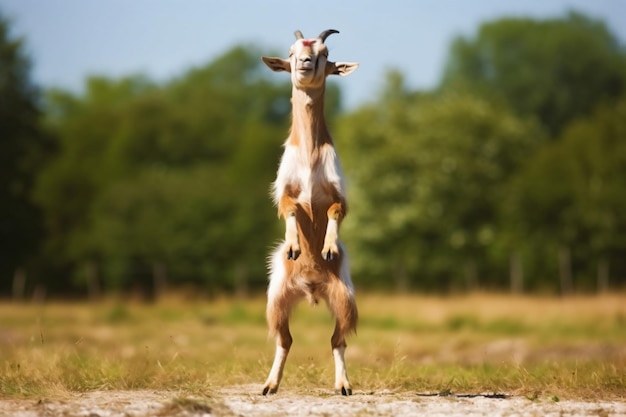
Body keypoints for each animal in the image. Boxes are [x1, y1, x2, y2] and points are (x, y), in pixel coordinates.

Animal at [258, 28, 356, 394]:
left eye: (325, 53)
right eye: (291, 51)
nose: (304, 63)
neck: (311, 156)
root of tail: (311, 289)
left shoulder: (339, 193)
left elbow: (333, 212)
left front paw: (327, 248)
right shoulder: (284, 190)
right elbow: (289, 210)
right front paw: (294, 246)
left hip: (344, 299)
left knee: (337, 340)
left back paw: (344, 386)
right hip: (277, 300)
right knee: (284, 340)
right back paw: (269, 386)